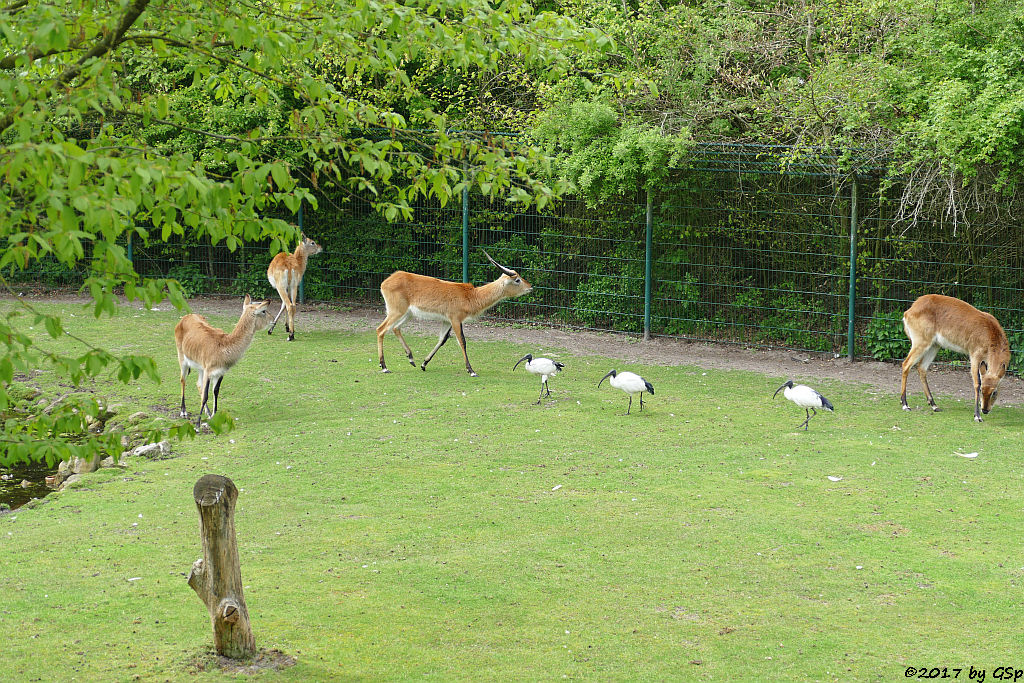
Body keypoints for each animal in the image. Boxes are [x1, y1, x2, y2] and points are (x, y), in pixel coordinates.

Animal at [176, 294, 272, 432]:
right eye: (263, 311)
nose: (273, 320)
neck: (223, 346)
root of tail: (185, 317)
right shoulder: (208, 371)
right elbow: (206, 395)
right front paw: (197, 425)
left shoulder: (220, 372)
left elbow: (215, 391)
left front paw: (213, 418)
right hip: (182, 359)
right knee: (183, 380)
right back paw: (183, 412)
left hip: (200, 367)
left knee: (198, 384)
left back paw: (208, 413)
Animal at [378, 250, 536, 376]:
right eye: (517, 280)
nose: (530, 286)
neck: (471, 296)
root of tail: (387, 280)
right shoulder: (455, 319)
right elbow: (462, 341)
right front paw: (471, 370)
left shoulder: (447, 320)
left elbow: (442, 340)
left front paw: (423, 364)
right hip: (396, 311)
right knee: (381, 330)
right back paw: (384, 367)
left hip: (407, 314)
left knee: (395, 328)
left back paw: (411, 359)